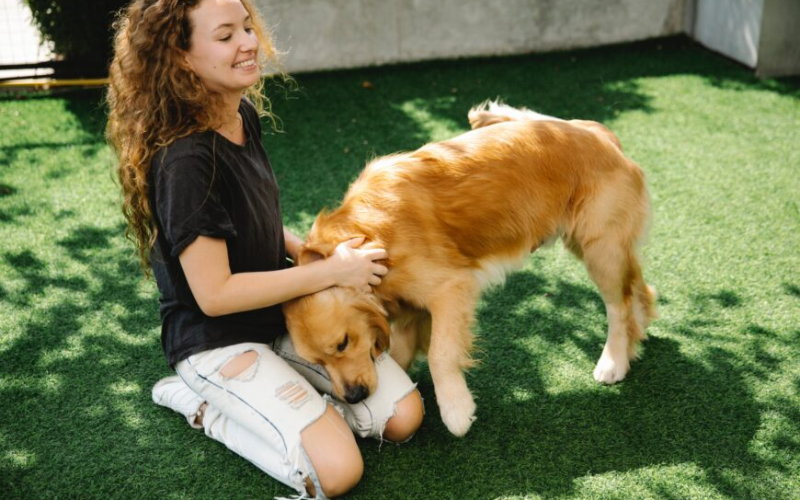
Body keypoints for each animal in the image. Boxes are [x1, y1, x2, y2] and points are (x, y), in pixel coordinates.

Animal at [282, 102, 656, 438]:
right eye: (315, 362)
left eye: (343, 343)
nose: (354, 397)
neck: (366, 236)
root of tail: (600, 134)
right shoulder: (409, 311)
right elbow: (403, 354)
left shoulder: (449, 288)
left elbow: (440, 353)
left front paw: (456, 409)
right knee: (639, 289)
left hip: (599, 247)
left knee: (618, 305)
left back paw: (613, 361)